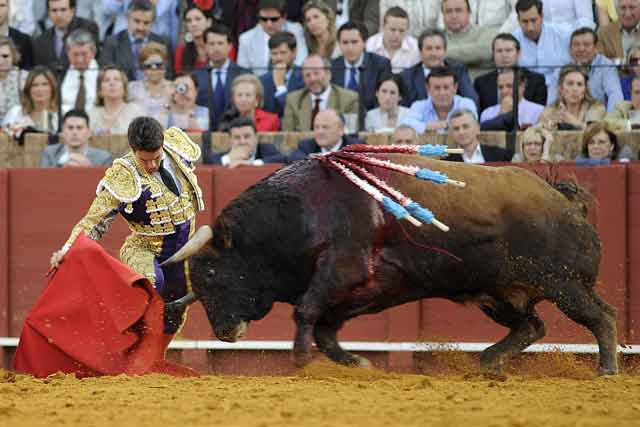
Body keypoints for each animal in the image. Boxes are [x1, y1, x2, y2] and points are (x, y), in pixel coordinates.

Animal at [165, 156, 620, 374]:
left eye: (211, 273)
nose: (223, 333)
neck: (299, 213)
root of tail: (566, 202)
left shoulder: (343, 272)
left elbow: (307, 312)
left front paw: (300, 358)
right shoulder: (367, 288)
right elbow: (326, 328)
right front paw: (357, 363)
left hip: (563, 283)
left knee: (601, 316)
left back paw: (607, 368)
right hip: (498, 292)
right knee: (531, 327)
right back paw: (490, 363)